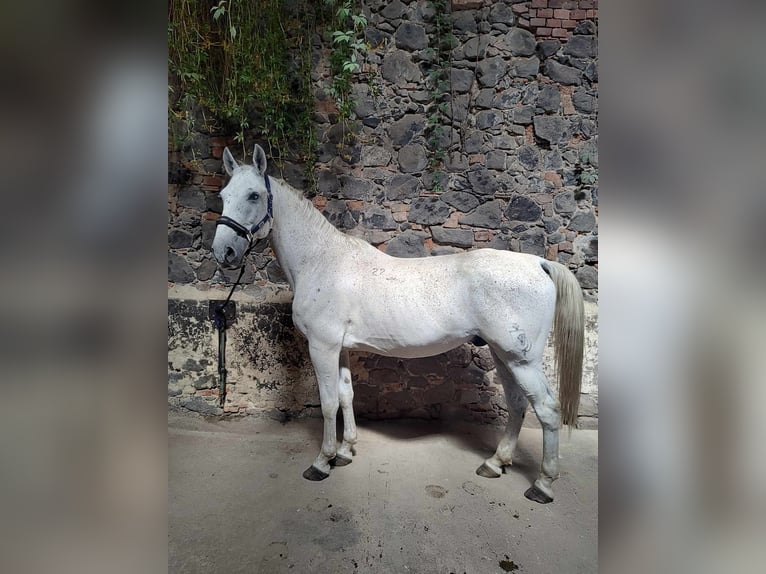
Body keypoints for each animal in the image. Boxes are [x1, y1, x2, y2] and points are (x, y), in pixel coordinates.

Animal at [213, 145, 584, 504]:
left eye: (254, 195)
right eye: (223, 195)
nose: (224, 252)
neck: (320, 262)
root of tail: (537, 263)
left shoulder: (322, 346)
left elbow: (329, 402)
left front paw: (322, 461)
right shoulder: (340, 349)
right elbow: (346, 396)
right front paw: (346, 452)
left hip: (522, 359)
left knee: (547, 409)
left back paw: (543, 485)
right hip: (502, 354)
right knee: (518, 403)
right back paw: (495, 463)